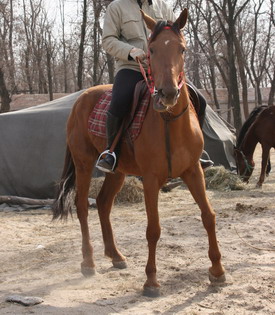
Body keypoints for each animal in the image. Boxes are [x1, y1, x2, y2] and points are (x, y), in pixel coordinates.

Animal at [52, 9, 226, 296]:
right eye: (151, 50)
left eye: (182, 48)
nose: (167, 93)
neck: (168, 121)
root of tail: (80, 100)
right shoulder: (151, 179)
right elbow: (153, 228)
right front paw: (151, 281)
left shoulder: (193, 172)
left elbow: (208, 216)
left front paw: (218, 271)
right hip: (83, 164)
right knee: (82, 206)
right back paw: (88, 262)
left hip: (117, 172)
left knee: (103, 204)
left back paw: (115, 256)